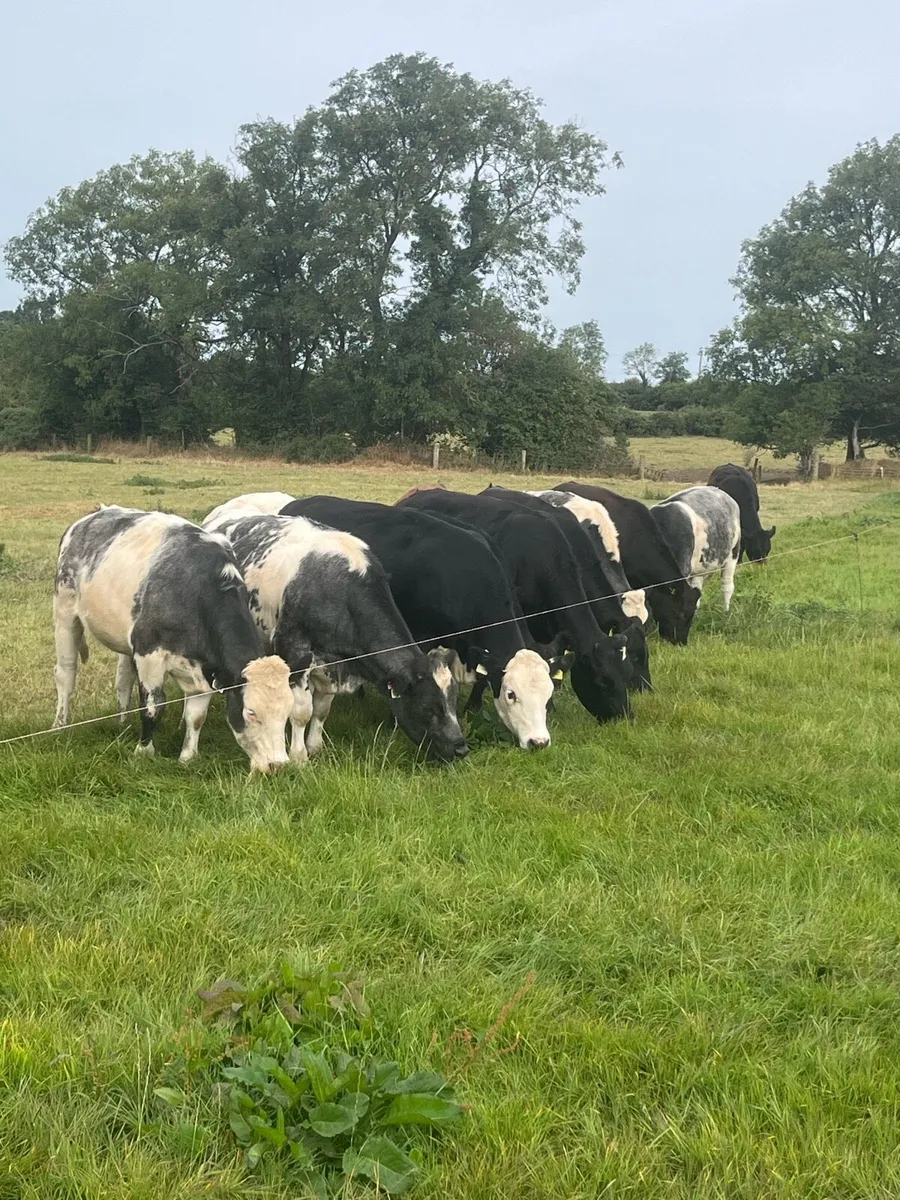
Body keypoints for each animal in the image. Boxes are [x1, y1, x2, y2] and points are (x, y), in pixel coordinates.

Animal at [52, 505, 297, 773]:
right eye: (251, 712)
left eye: (287, 711)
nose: (278, 765)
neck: (196, 592)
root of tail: (91, 517)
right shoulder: (149, 653)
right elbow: (153, 707)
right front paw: (143, 752)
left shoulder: (204, 667)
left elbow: (196, 716)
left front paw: (187, 757)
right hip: (64, 612)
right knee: (66, 672)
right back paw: (60, 725)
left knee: (123, 677)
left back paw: (122, 721)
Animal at [203, 510, 469, 763]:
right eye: (429, 707)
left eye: (454, 702)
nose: (461, 748)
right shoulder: (294, 649)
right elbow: (301, 711)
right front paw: (299, 756)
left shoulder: (333, 665)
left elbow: (321, 709)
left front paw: (315, 747)